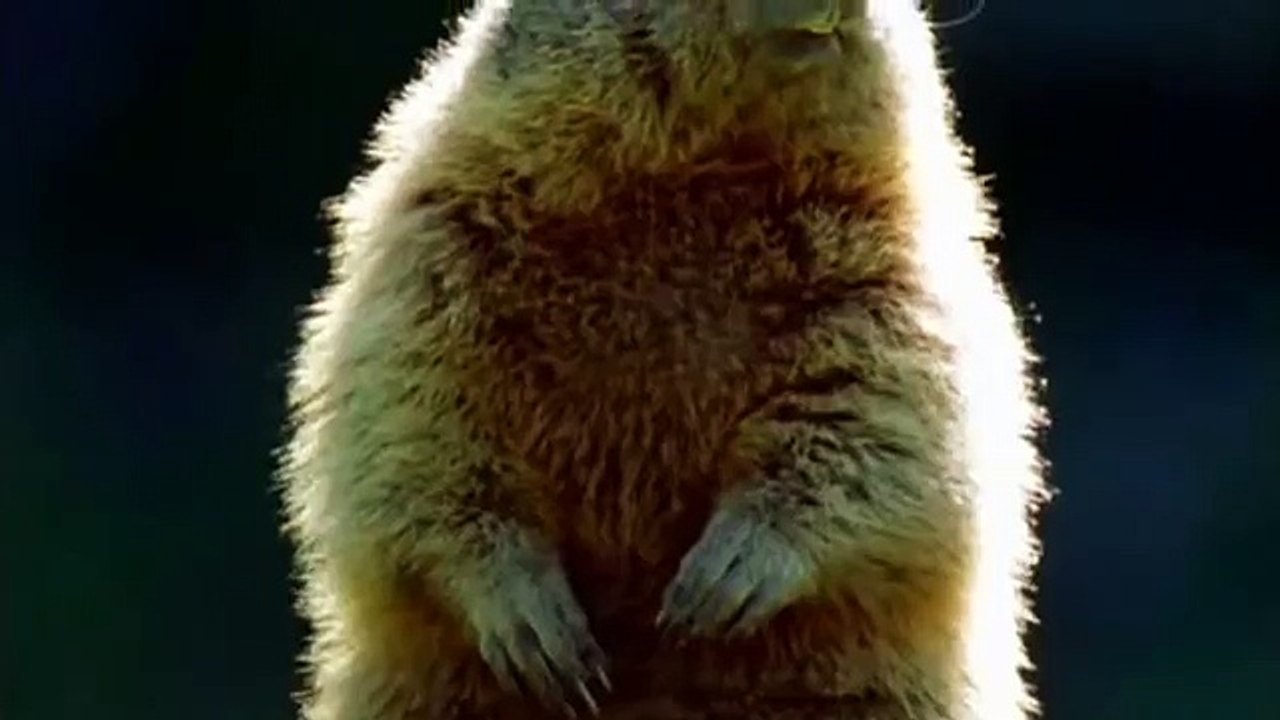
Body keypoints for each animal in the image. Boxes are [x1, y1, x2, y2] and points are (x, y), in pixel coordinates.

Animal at [278, 1, 1049, 718]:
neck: (694, 176)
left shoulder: (891, 276)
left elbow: (878, 412)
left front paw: (722, 581)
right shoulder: (434, 255)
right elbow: (421, 423)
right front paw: (537, 629)